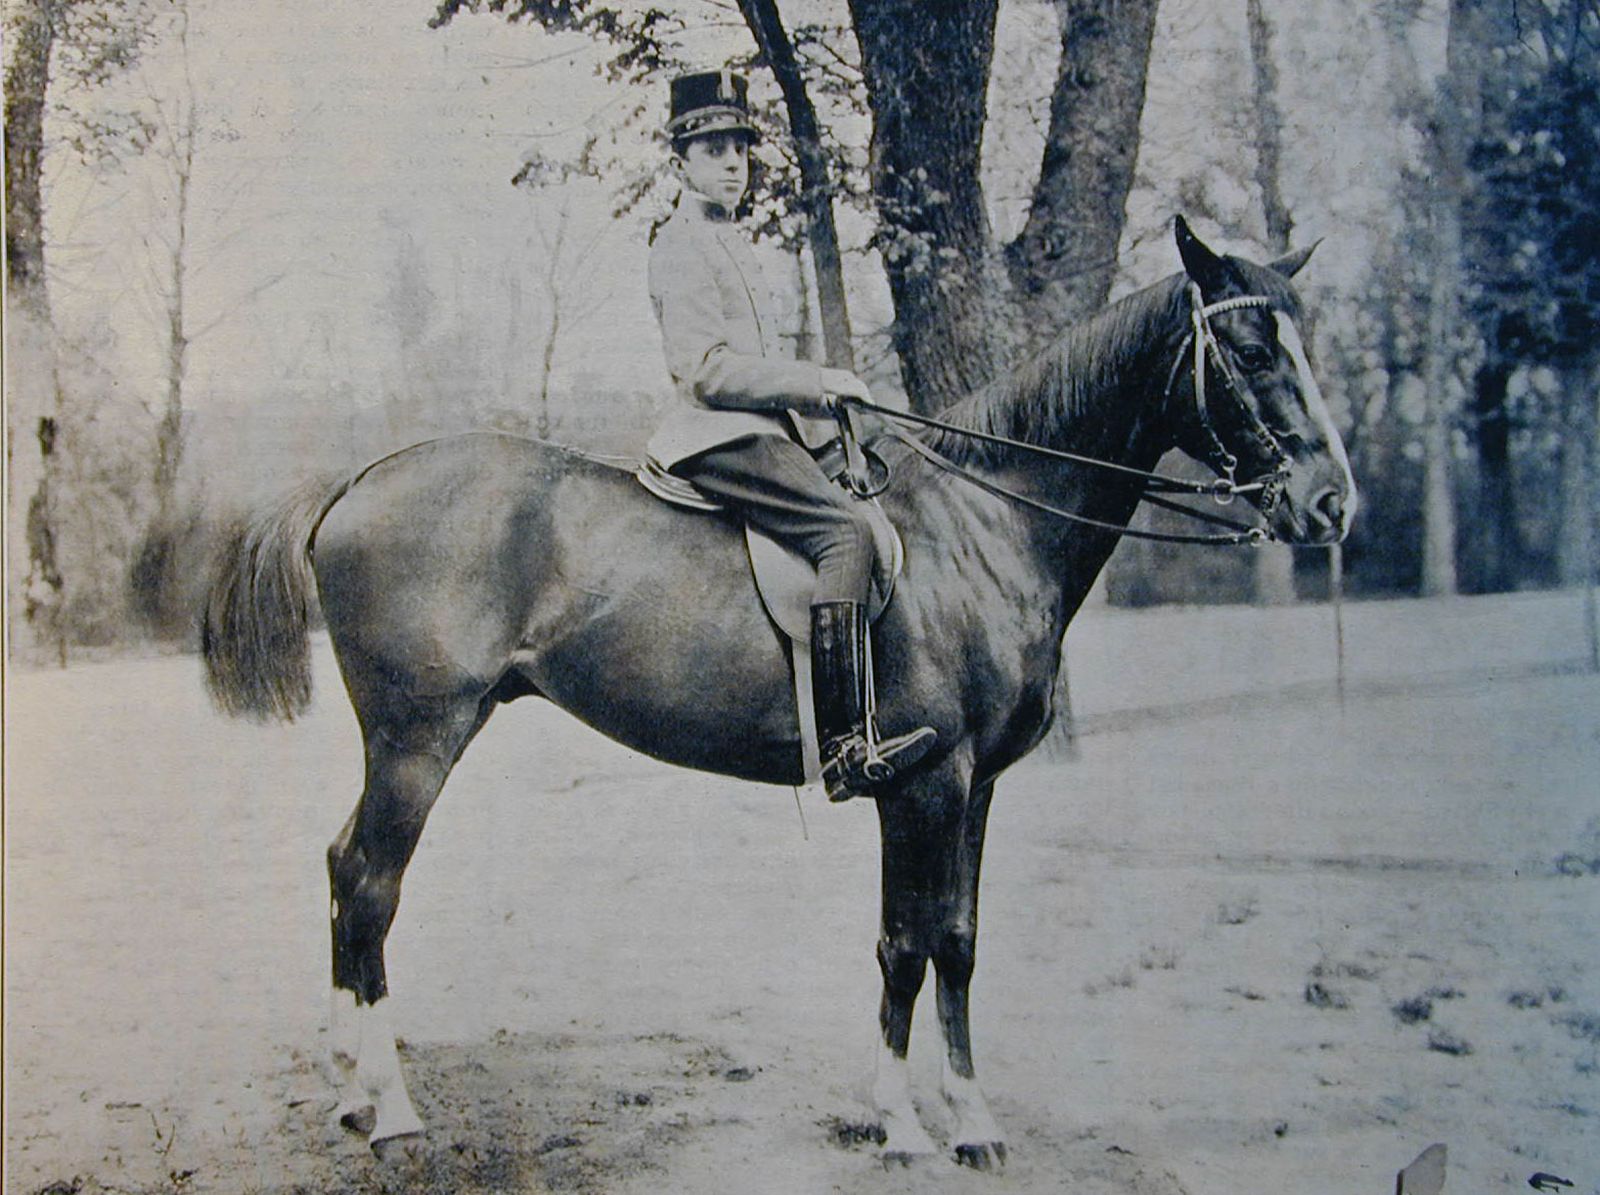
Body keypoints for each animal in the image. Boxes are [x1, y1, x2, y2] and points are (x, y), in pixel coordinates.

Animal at [200, 218, 1355, 1170]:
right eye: (1253, 352)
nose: (1330, 502)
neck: (983, 525)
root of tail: (354, 479)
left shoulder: (976, 788)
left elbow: (958, 941)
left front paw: (971, 1121)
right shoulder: (924, 783)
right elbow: (906, 945)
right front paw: (899, 1126)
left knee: (343, 872)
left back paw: (351, 1093)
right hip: (418, 738)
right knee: (368, 883)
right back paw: (391, 1112)